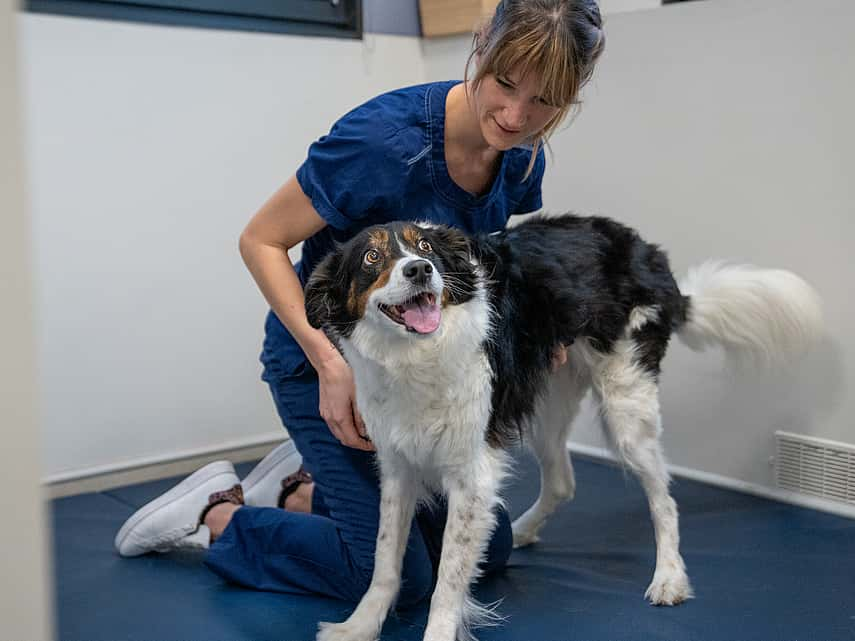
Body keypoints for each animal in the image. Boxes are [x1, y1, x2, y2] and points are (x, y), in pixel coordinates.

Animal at [306, 214, 824, 640]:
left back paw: (669, 577)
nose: (419, 271)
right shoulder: (398, 466)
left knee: (664, 497)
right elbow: (386, 561)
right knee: (562, 481)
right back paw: (522, 529)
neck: (417, 354)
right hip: (547, 400)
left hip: (626, 407)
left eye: (426, 248)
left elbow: (447, 581)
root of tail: (652, 257)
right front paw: (358, 627)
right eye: (372, 257)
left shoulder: (472, 475)